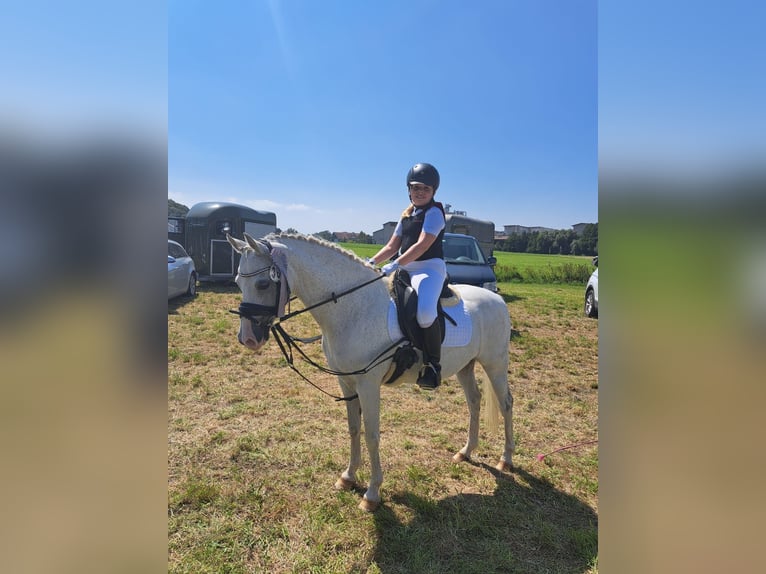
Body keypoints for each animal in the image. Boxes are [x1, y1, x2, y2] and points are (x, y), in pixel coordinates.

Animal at [227, 232, 514, 512]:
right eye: (238, 282)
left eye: (263, 284)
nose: (248, 339)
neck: (353, 308)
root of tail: (498, 299)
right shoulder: (346, 382)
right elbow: (354, 428)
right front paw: (348, 477)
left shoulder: (368, 385)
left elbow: (372, 435)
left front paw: (372, 493)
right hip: (466, 366)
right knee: (474, 401)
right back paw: (466, 452)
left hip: (495, 364)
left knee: (506, 403)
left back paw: (506, 459)